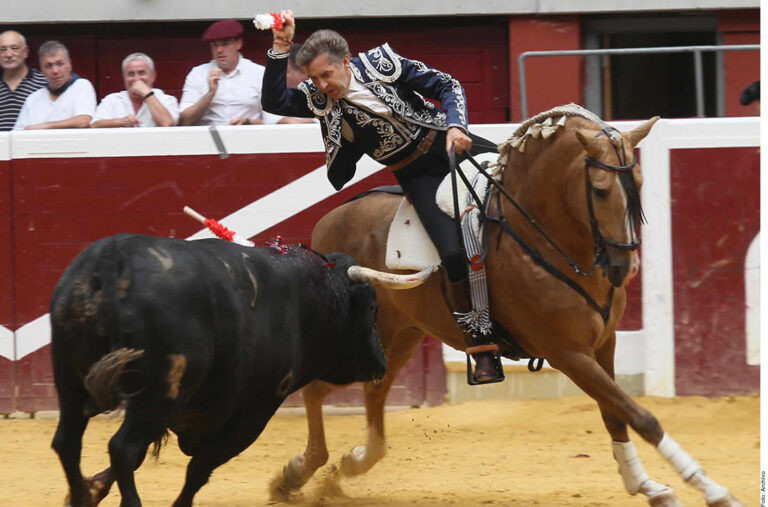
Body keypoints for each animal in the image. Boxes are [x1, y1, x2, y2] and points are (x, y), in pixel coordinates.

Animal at [48, 235, 384, 507]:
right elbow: (199, 467)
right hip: (161, 393)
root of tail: (113, 258)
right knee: (123, 449)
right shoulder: (253, 414)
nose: (381, 361)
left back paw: (80, 498)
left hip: (70, 380)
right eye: (371, 308)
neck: (308, 297)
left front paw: (94, 489)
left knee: (68, 442)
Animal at [280, 105, 740, 506]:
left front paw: (647, 486)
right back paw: (298, 472)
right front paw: (712, 490)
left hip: (400, 335)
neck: (543, 237)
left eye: (640, 183)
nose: (624, 266)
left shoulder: (604, 343)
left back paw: (347, 464)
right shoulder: (568, 353)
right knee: (316, 388)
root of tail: (326, 224)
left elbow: (615, 414)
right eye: (599, 190)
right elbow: (641, 416)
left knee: (372, 391)